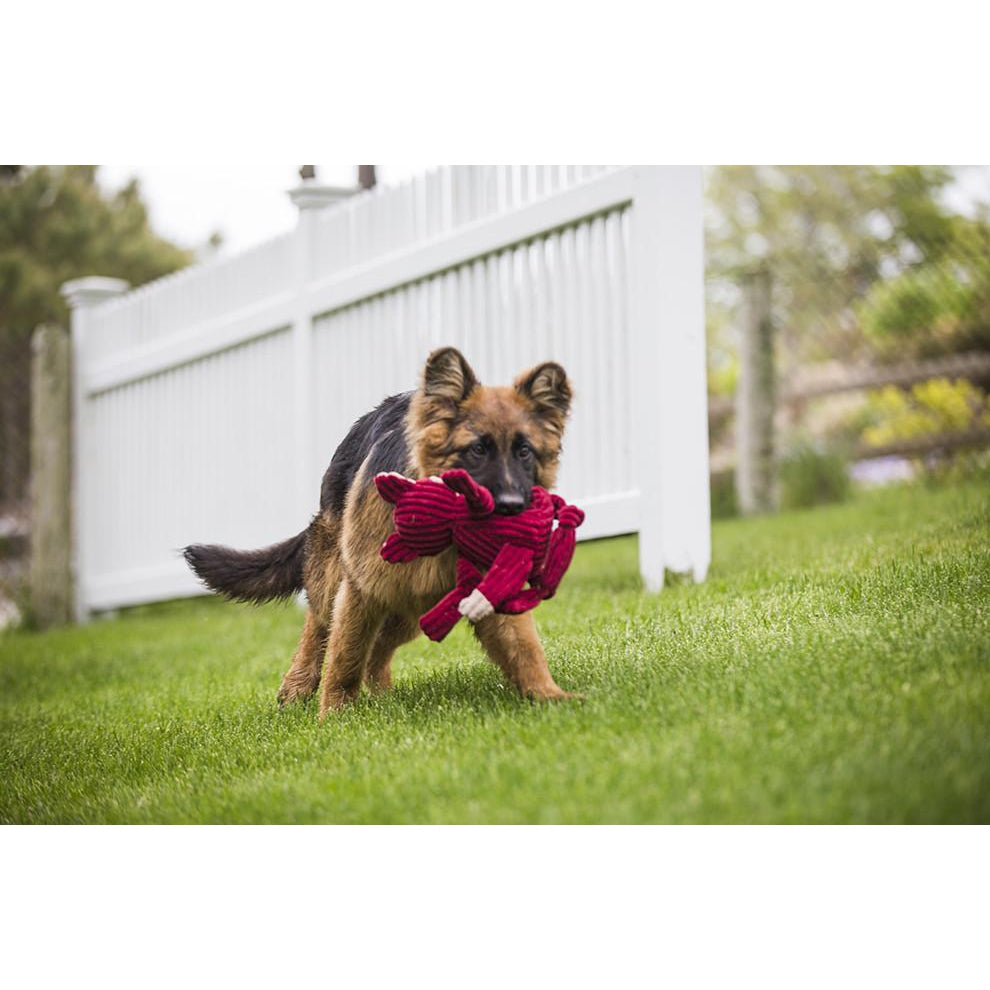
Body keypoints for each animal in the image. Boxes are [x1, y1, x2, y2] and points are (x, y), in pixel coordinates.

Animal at [183, 346, 578, 718]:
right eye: (477, 450)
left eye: (525, 452)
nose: (513, 507)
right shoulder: (361, 589)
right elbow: (344, 657)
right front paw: (335, 716)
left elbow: (524, 647)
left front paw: (550, 696)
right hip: (340, 578)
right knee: (320, 625)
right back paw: (298, 685)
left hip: (410, 606)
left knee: (377, 649)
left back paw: (382, 696)